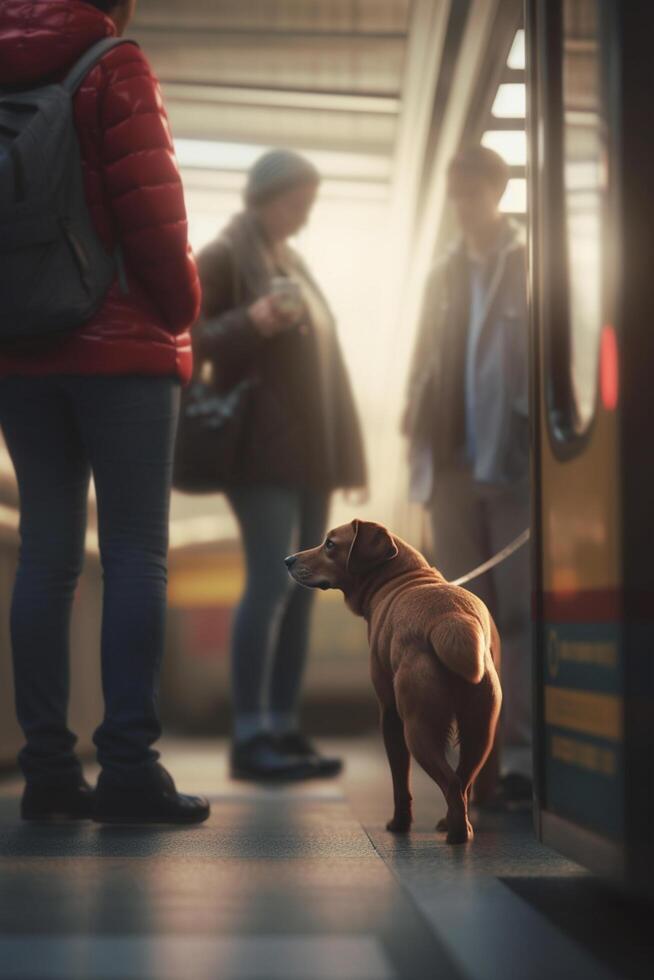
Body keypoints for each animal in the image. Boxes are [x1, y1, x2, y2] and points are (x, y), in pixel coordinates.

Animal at [284, 520, 504, 844]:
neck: (401, 578)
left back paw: (456, 835)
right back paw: (458, 824)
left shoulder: (388, 714)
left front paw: (399, 824)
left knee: (451, 785)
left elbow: (400, 782)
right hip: (481, 730)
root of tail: (452, 617)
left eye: (330, 544)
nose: (288, 560)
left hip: (418, 728)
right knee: (463, 782)